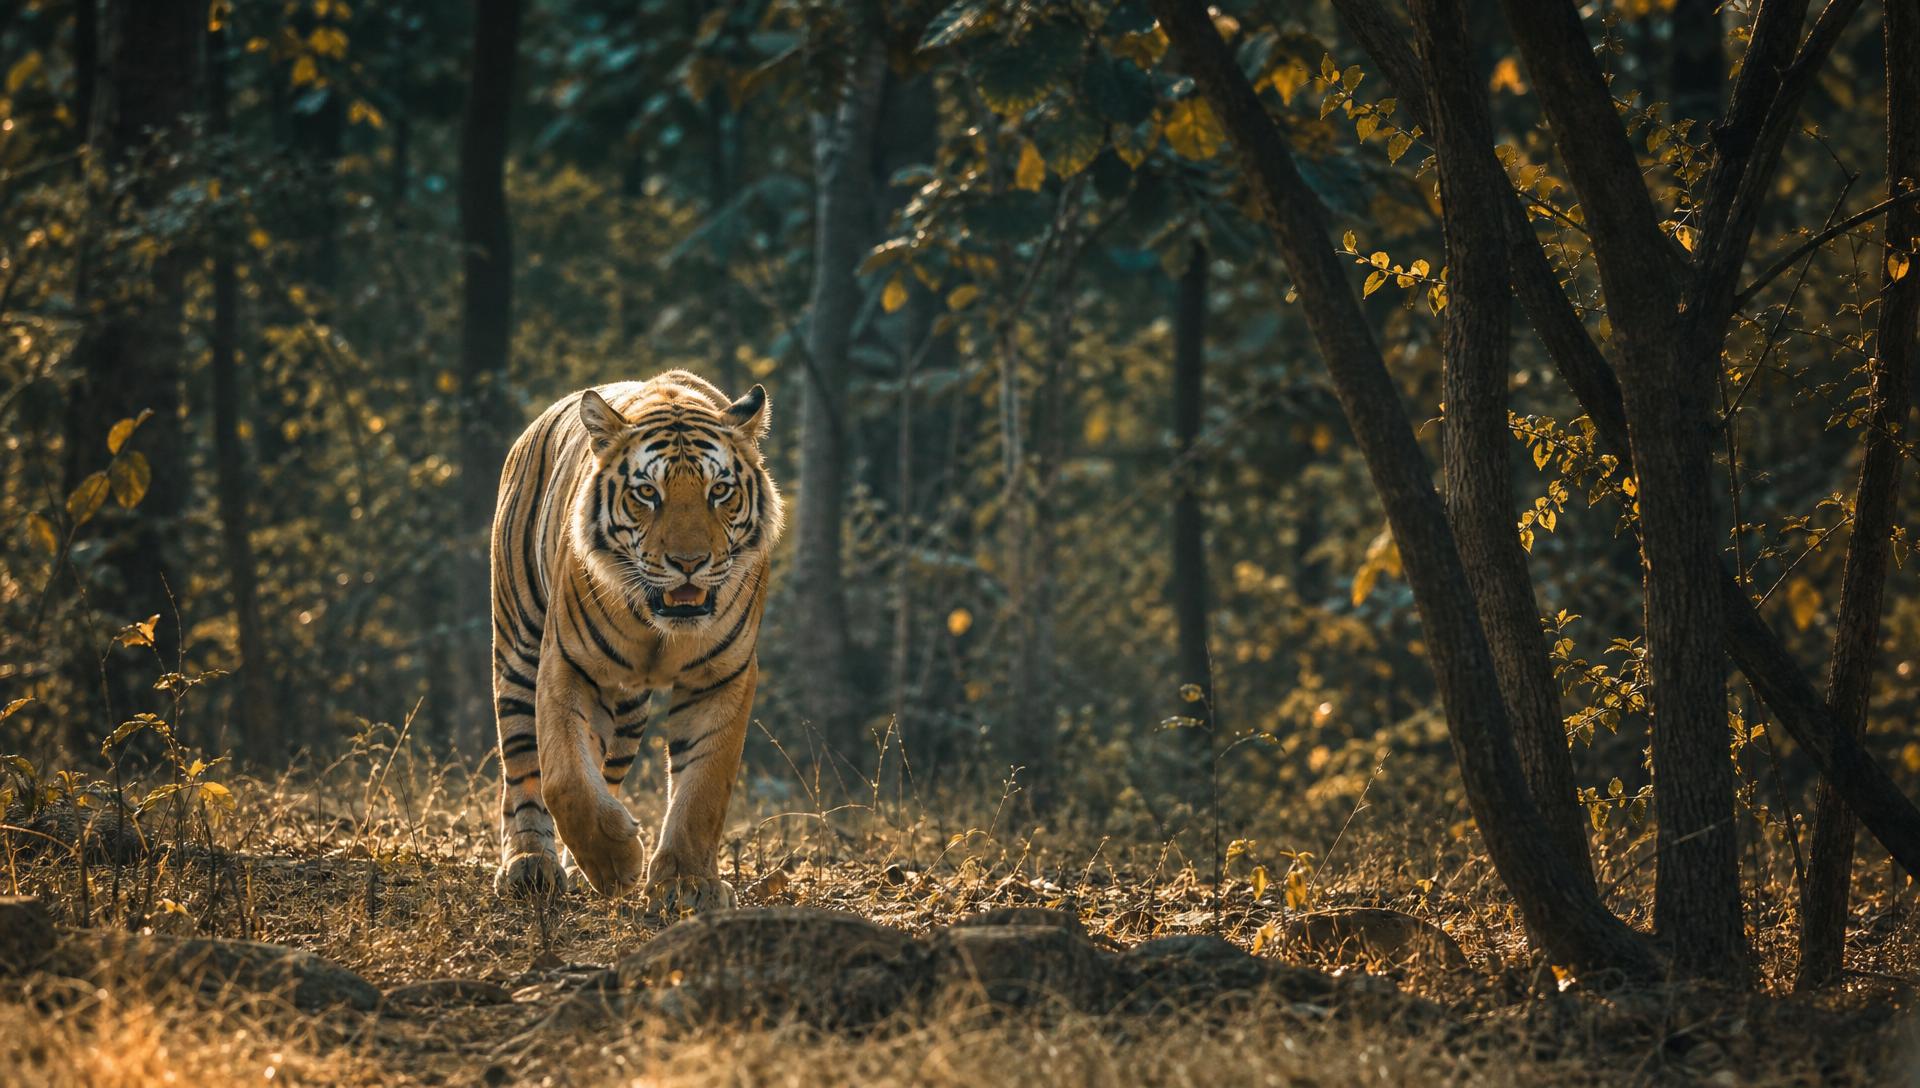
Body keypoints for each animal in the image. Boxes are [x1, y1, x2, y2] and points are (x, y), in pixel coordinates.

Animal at [489, 370, 782, 914]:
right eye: (647, 492)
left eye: (720, 490)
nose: (689, 562)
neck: (659, 629)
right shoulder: (566, 663)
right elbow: (565, 777)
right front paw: (615, 862)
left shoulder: (722, 677)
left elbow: (703, 788)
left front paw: (687, 885)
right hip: (518, 648)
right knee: (521, 766)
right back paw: (531, 864)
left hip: (626, 711)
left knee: (607, 767)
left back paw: (574, 866)